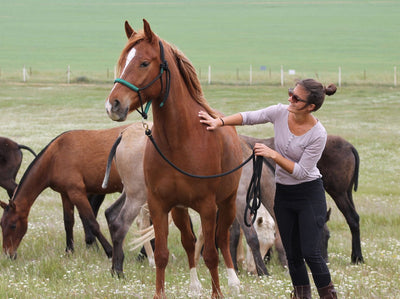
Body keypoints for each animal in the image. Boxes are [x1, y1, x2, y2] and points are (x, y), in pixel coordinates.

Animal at [0, 125, 128, 258]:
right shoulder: (65, 194)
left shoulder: (77, 193)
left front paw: (109, 251)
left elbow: (92, 223)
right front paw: (69, 250)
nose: (8, 254)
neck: (55, 157)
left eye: (13, 225)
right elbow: (68, 222)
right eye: (1, 224)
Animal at [104, 19, 242, 299]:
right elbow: (162, 254)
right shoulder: (160, 205)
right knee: (189, 243)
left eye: (144, 63)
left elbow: (211, 254)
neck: (181, 141)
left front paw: (218, 292)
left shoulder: (208, 207)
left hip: (228, 201)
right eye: (123, 61)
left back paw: (233, 281)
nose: (113, 104)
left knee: (222, 238)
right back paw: (194, 286)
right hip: (179, 209)